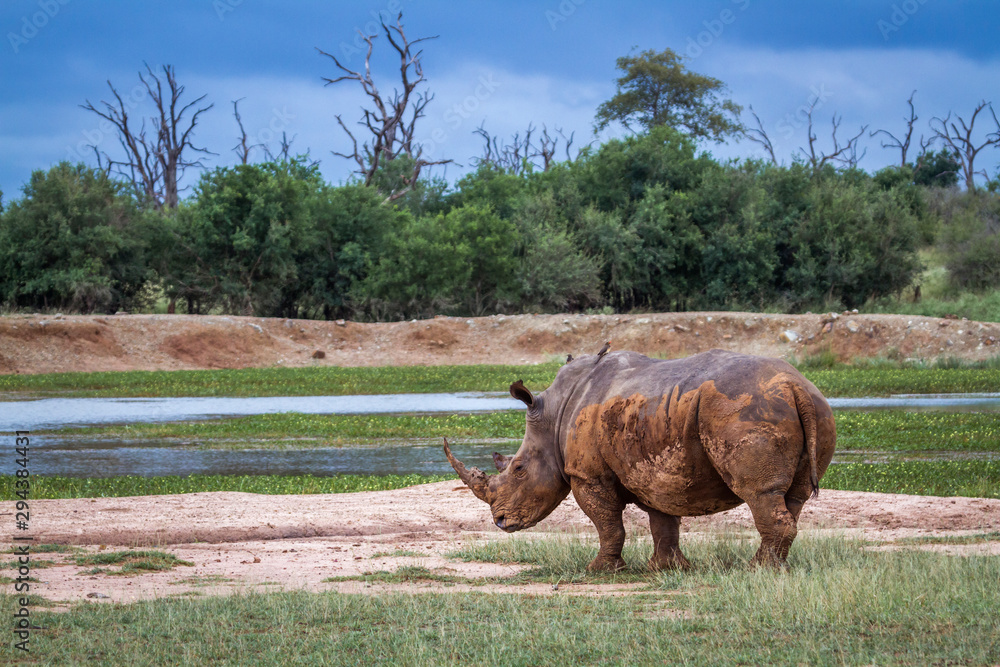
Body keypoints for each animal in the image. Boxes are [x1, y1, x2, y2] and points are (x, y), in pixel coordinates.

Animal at [444, 349, 836, 570]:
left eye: (519, 469)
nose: (500, 521)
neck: (553, 416)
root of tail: (794, 385)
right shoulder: (652, 468)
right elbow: (663, 521)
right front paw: (666, 569)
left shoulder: (587, 475)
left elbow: (607, 523)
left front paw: (599, 570)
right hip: (815, 406)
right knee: (793, 496)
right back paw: (775, 567)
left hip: (746, 409)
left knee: (759, 493)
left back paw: (756, 570)